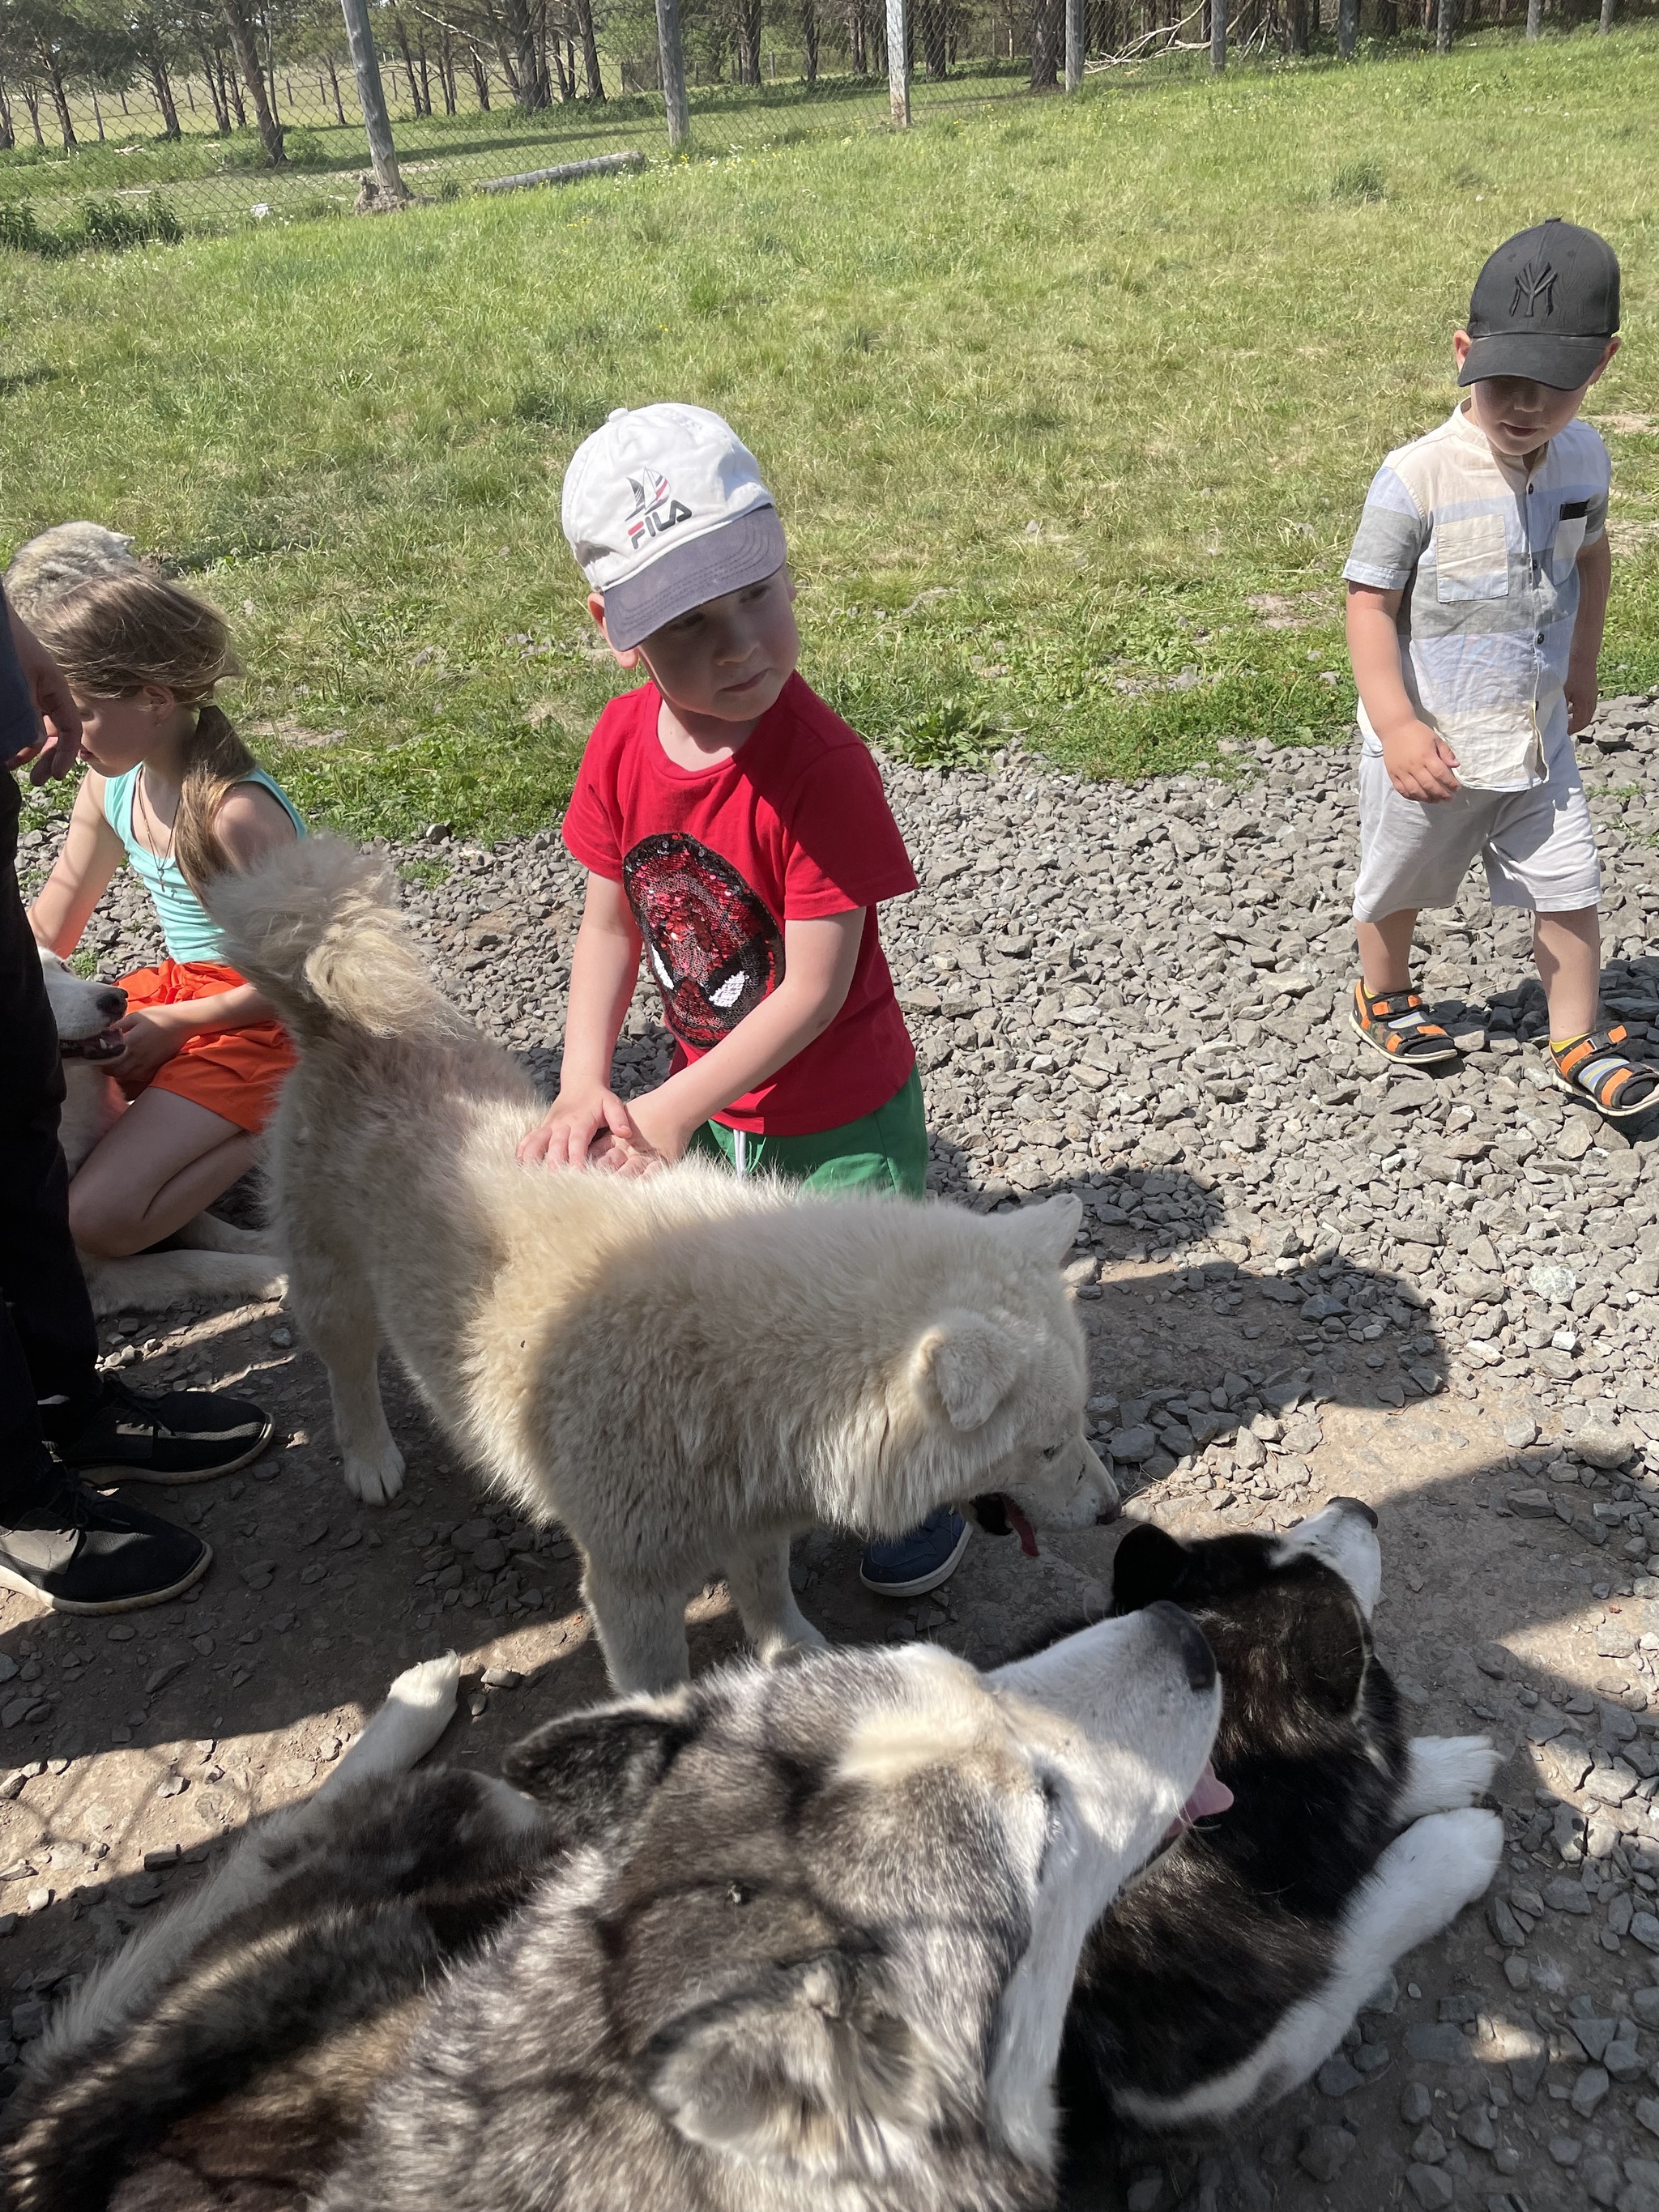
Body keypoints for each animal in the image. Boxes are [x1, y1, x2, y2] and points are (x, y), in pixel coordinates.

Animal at [39, 946, 292, 1318]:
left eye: (63, 967)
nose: (116, 998)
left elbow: (202, 1225)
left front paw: (264, 1243)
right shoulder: (92, 1276)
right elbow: (185, 1260)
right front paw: (270, 1271)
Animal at [204, 845, 1119, 1690]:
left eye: (1077, 1424)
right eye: (1046, 1447)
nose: (1112, 1509)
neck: (754, 1375)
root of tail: (338, 1020)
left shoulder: (756, 1515)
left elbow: (769, 1590)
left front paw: (798, 1653)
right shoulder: (629, 1581)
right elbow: (655, 1683)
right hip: (331, 1280)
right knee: (346, 1365)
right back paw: (369, 1456)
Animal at [1057, 1486, 1512, 2141]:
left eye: (1276, 1539)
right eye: (1329, 1569)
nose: (1359, 1506)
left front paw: (1444, 1767)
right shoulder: (1213, 2076)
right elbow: (1361, 1930)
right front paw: (1456, 1845)